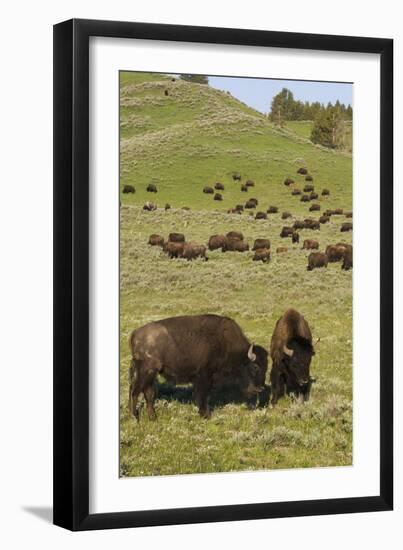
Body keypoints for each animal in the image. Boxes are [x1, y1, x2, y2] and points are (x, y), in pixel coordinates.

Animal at [129, 316, 268, 420]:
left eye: (267, 366)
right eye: (255, 366)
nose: (261, 388)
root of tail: (134, 334)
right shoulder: (204, 376)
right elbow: (203, 395)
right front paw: (205, 414)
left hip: (150, 375)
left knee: (147, 393)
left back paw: (152, 417)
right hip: (146, 372)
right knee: (135, 391)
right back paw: (135, 417)